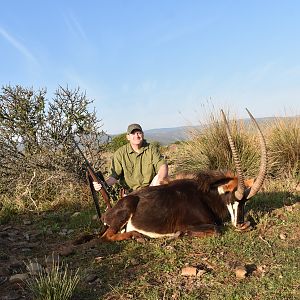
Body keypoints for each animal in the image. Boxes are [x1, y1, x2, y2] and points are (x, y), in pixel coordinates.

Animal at [101, 109, 268, 243]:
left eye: (245, 202)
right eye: (232, 197)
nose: (241, 224)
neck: (206, 196)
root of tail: (107, 214)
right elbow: (216, 229)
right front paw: (179, 234)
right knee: (106, 236)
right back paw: (138, 236)